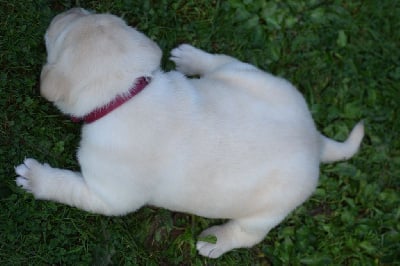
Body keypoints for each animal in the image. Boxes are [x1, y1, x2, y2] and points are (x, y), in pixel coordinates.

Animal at [15, 7, 366, 258]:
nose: (68, 10)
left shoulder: (108, 195)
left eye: (57, 36)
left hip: (267, 211)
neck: (127, 93)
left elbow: (68, 186)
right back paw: (191, 58)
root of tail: (314, 140)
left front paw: (35, 178)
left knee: (247, 235)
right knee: (223, 62)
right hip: (250, 75)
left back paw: (215, 242)